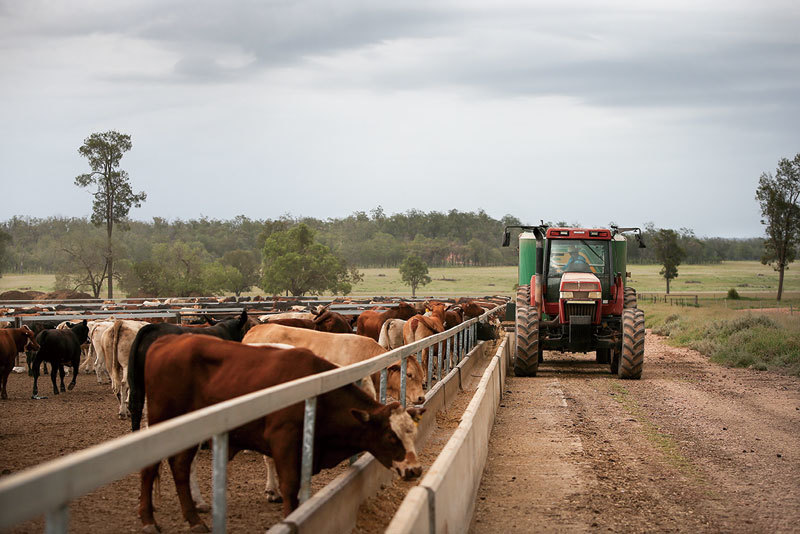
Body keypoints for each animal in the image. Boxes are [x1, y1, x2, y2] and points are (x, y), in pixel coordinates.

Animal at [139, 336, 424, 532]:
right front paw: (290, 514)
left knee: (180, 466)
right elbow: (290, 486)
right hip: (162, 421)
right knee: (152, 467)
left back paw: (194, 519)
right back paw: (148, 519)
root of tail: (166, 342)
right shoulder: (283, 440)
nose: (415, 469)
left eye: (412, 433)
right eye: (390, 437)